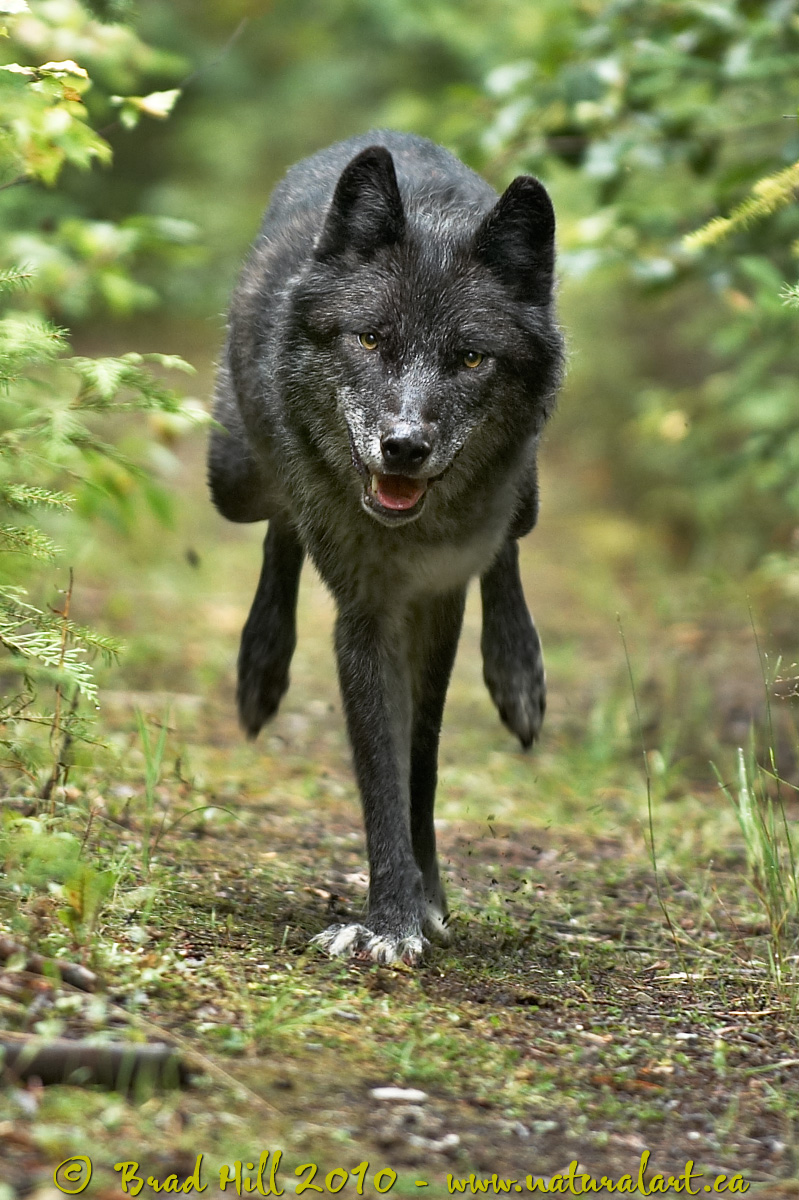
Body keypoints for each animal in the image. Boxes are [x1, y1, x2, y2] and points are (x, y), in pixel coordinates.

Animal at [208, 130, 563, 965]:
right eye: (370, 338)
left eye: (470, 358)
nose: (403, 447)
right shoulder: (365, 614)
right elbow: (378, 766)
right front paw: (392, 918)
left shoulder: (435, 601)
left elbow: (418, 759)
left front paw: (420, 900)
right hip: (232, 477)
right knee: (279, 519)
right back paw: (260, 668)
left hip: (525, 494)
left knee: (507, 543)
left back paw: (517, 676)